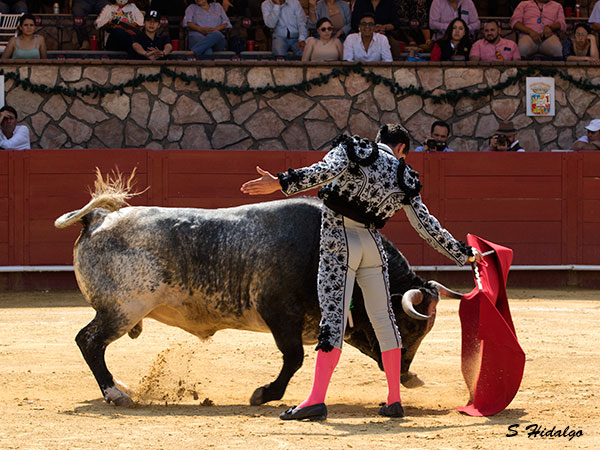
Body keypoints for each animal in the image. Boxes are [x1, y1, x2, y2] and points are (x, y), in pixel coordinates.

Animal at [56, 172, 460, 408]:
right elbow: (294, 357)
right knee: (88, 341)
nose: (408, 376)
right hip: (123, 309)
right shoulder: (278, 312)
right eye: (411, 326)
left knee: (92, 343)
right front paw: (265, 394)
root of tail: (99, 218)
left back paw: (120, 387)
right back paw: (116, 393)